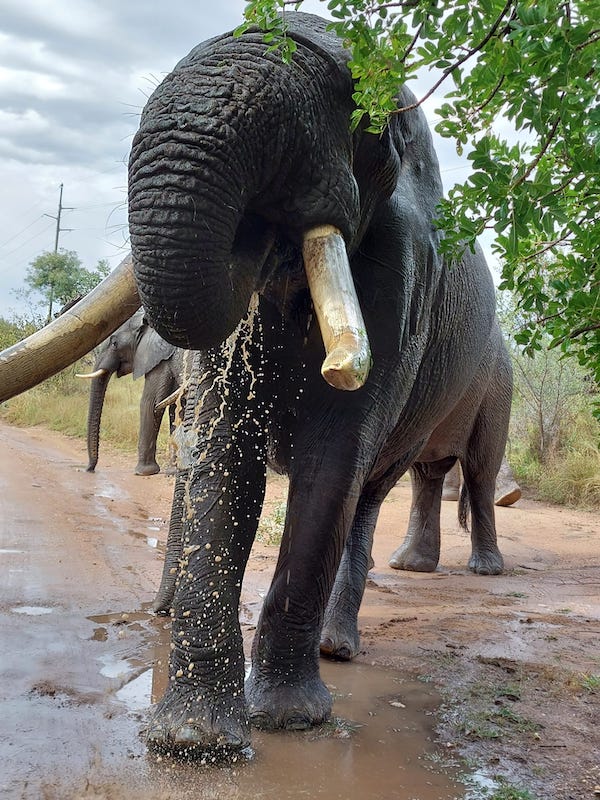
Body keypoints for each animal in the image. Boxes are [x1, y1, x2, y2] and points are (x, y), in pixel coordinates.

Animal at [77, 309, 184, 475]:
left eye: (114, 344)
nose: (89, 469)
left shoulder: (158, 359)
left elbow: (150, 402)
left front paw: (143, 472)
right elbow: (174, 406)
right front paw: (173, 470)